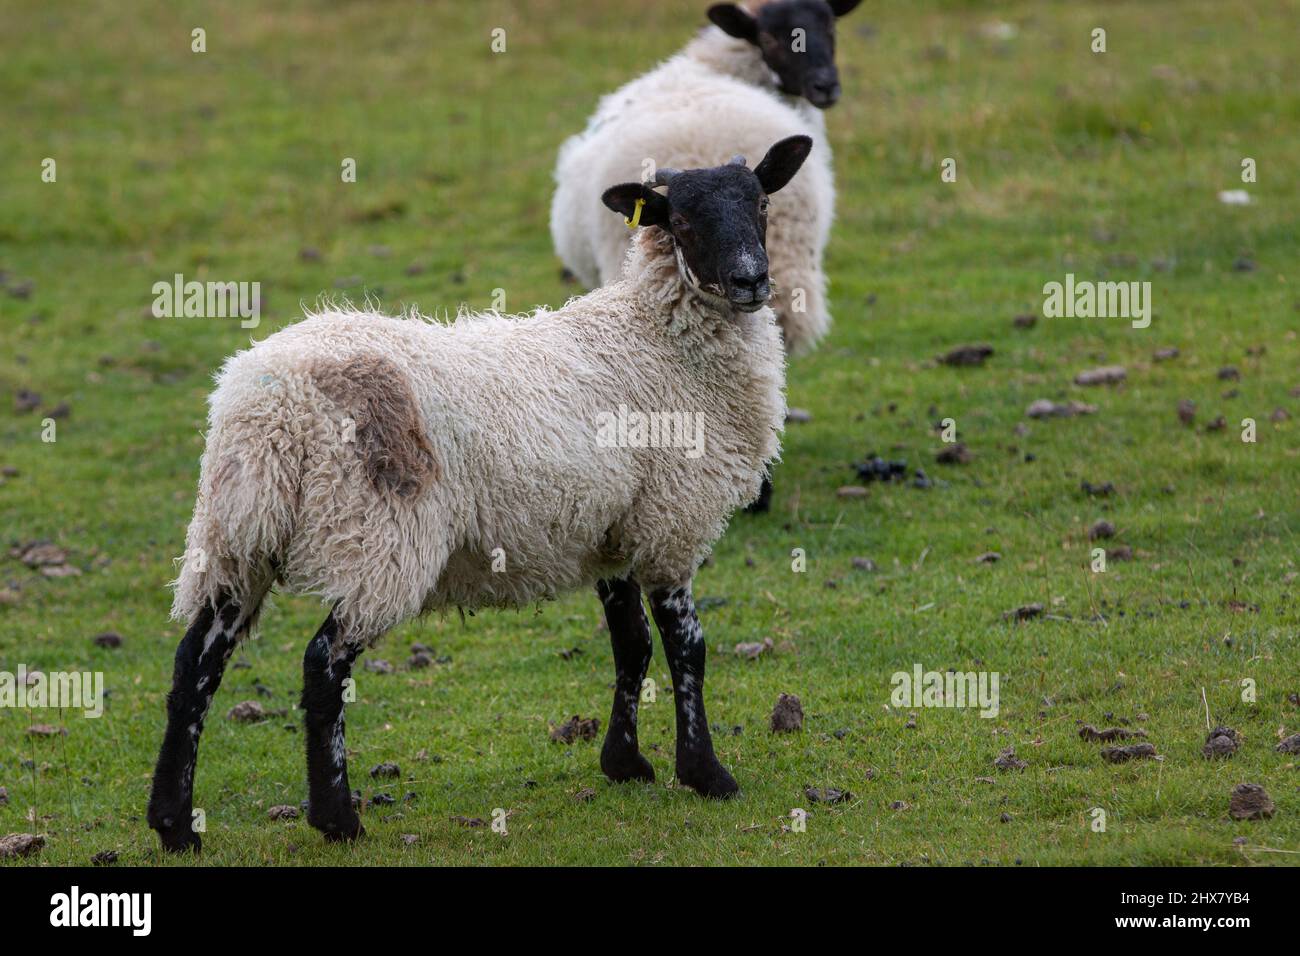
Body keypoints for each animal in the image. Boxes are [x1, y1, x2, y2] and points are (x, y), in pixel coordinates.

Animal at [149, 132, 811, 853]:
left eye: (761, 203)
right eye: (682, 220)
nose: (751, 281)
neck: (659, 339)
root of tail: (268, 409)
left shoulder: (612, 527)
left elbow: (631, 644)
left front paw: (625, 762)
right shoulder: (672, 520)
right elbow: (686, 648)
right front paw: (706, 773)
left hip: (235, 535)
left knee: (195, 663)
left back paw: (173, 824)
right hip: (376, 535)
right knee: (322, 666)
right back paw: (337, 819)